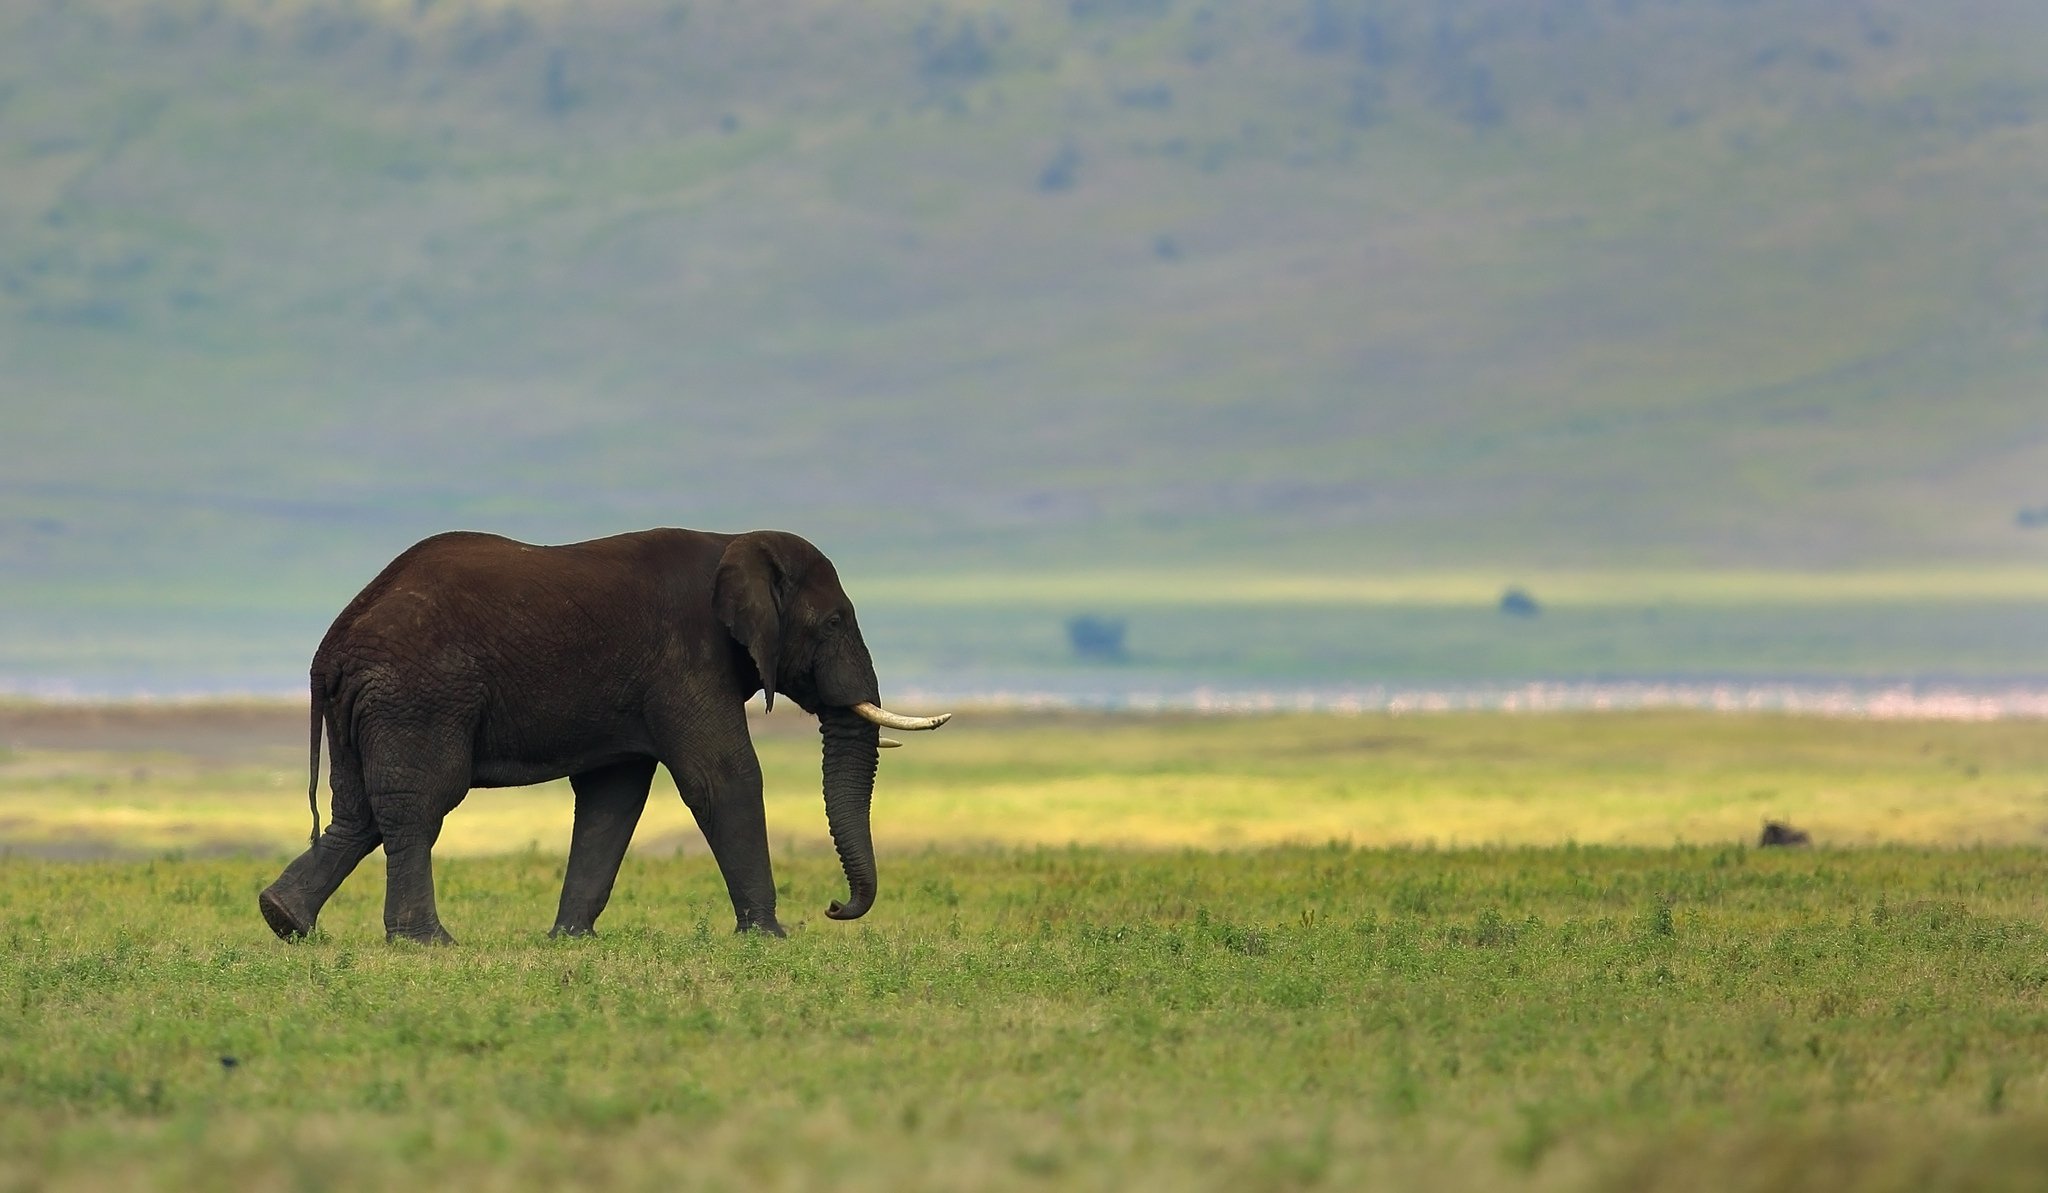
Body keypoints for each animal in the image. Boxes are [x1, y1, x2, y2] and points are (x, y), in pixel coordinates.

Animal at [257, 528, 950, 944]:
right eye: (833, 622)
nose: (834, 909)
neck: (732, 542)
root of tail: (334, 644)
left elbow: (612, 800)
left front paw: (569, 941)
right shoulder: (685, 660)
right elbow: (723, 776)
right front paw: (768, 939)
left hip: (370, 704)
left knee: (360, 814)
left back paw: (284, 919)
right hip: (419, 697)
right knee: (418, 807)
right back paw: (428, 943)